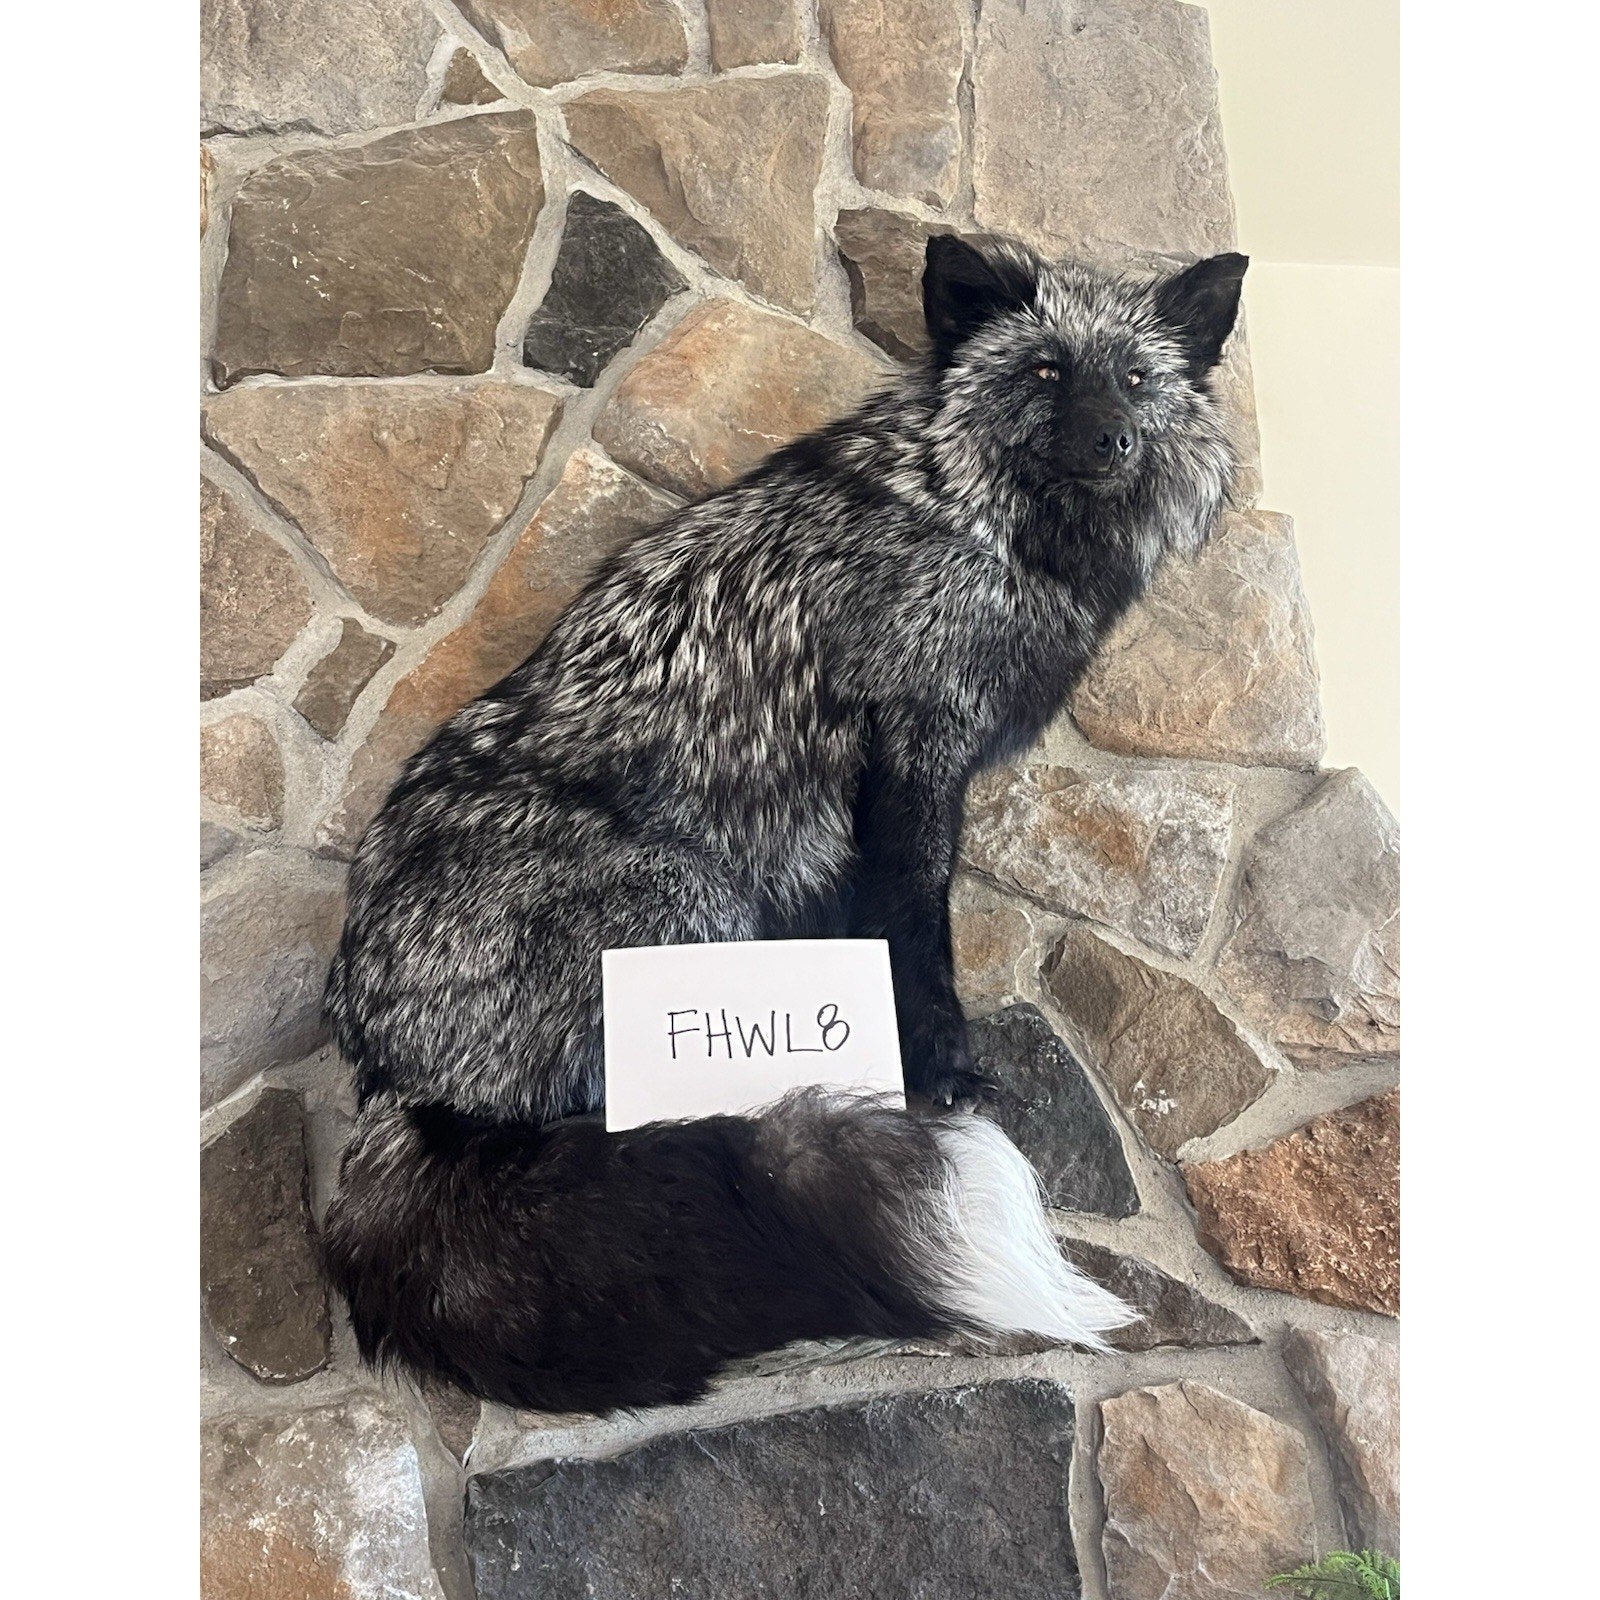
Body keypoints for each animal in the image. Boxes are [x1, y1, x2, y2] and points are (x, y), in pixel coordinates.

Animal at [322, 234, 1247, 1414]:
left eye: (1134, 377)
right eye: (1046, 370)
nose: (1113, 438)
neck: (985, 523)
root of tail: (380, 1070)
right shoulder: (914, 745)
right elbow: (915, 924)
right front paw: (940, 1065)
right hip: (688, 899)